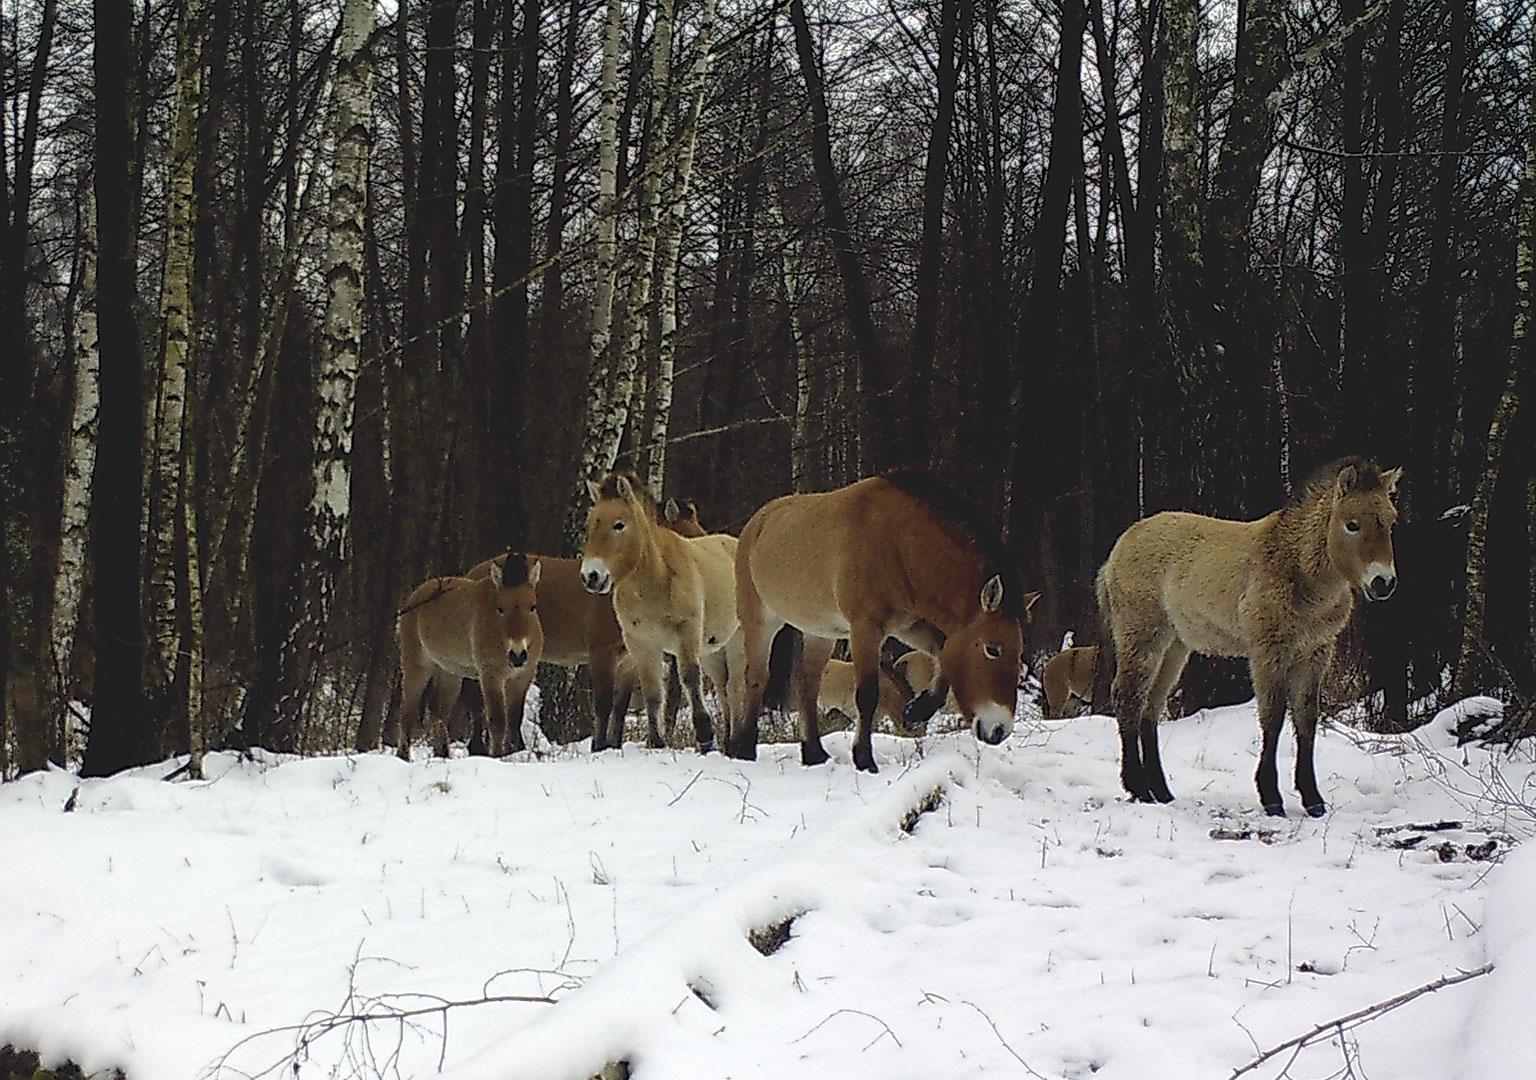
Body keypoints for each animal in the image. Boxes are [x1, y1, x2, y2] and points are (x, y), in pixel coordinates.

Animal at [396, 559, 546, 761]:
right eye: (501, 608)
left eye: (532, 606)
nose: (517, 655)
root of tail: (415, 597)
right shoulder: (491, 676)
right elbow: (497, 721)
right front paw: (497, 757)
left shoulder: (522, 677)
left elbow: (514, 721)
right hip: (417, 667)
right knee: (407, 713)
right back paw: (404, 757)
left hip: (448, 673)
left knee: (438, 712)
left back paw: (443, 754)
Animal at [577, 470, 740, 755]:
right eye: (589, 525)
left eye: (619, 525)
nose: (591, 576)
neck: (656, 579)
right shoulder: (642, 644)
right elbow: (653, 692)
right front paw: (657, 742)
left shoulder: (686, 633)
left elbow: (689, 680)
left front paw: (705, 738)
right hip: (713, 650)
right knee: (724, 690)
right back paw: (729, 744)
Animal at [734, 470, 1044, 768]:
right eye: (992, 649)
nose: (999, 731)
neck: (898, 542)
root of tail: (757, 522)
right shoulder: (866, 629)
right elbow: (867, 695)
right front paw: (864, 759)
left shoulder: (908, 625)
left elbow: (942, 654)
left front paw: (917, 710)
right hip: (760, 622)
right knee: (756, 679)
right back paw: (744, 749)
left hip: (820, 633)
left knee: (807, 686)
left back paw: (814, 754)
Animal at [1093, 457, 1406, 817]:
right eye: (1352, 524)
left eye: (1391, 522)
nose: (1383, 583)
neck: (1296, 570)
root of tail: (1116, 553)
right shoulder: (1268, 651)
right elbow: (1273, 717)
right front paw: (1271, 797)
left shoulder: (1315, 652)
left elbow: (1306, 719)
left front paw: (1312, 799)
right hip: (1142, 636)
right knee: (1128, 698)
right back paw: (1137, 787)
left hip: (1174, 646)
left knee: (1151, 707)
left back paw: (1160, 790)